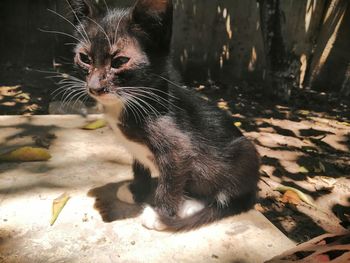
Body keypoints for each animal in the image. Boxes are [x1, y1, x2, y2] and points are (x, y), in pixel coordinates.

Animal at [67, 0, 260, 231]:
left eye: (119, 61)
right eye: (84, 58)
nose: (94, 87)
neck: (129, 102)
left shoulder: (178, 147)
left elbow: (171, 180)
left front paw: (161, 214)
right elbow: (139, 166)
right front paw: (137, 191)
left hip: (245, 153)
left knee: (224, 193)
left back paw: (190, 205)